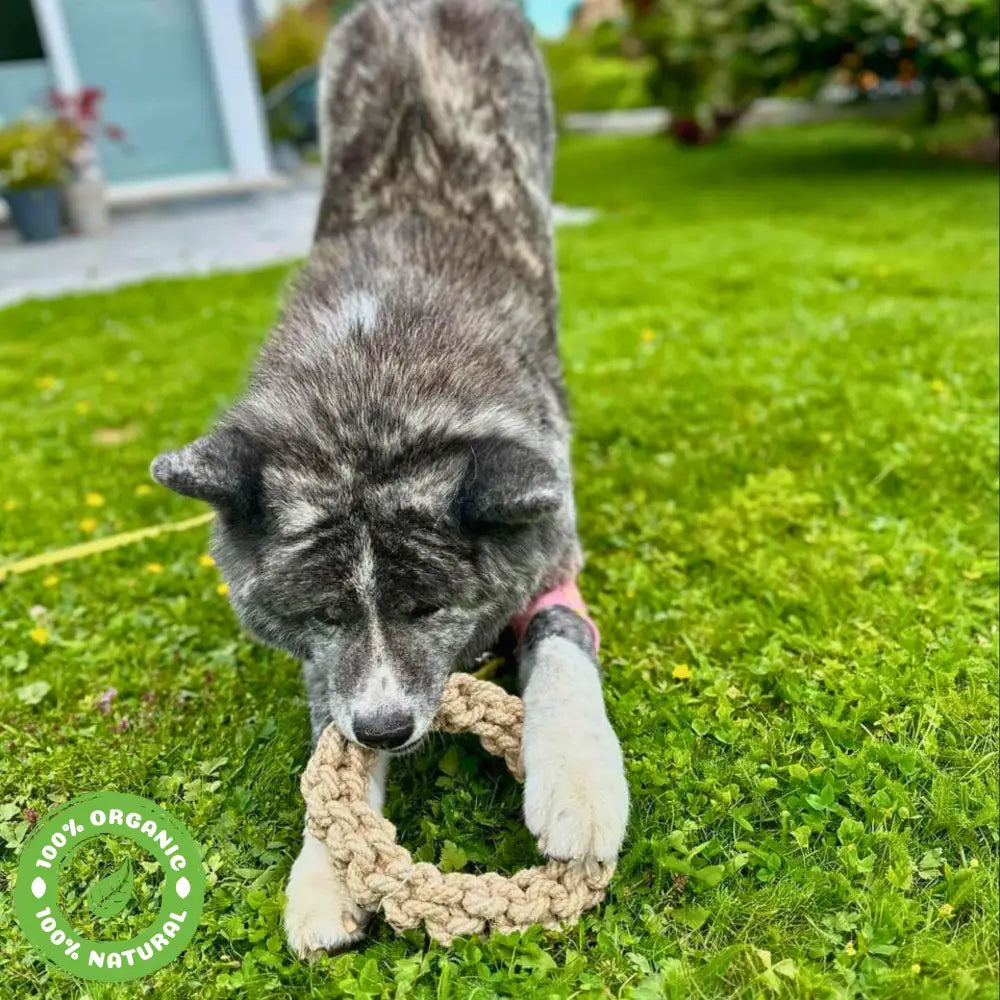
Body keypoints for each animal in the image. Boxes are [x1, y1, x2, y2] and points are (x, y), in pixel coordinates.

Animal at [150, 0, 624, 952]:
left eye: (429, 609)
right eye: (324, 613)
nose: (386, 727)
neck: (376, 387)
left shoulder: (548, 529)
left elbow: (563, 640)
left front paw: (580, 779)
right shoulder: (330, 666)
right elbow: (327, 737)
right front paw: (327, 868)